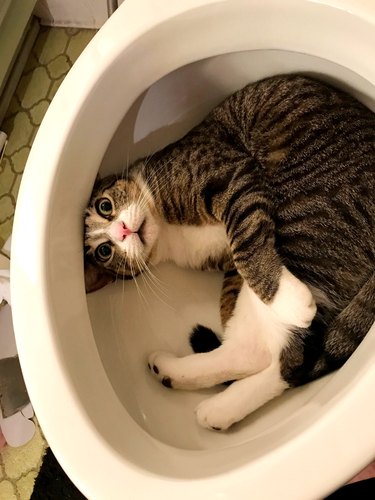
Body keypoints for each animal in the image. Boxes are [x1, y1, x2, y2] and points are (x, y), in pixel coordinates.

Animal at [84, 73, 375, 430]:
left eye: (105, 206)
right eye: (104, 251)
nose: (123, 231)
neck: (166, 232)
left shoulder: (231, 177)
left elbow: (246, 247)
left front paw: (291, 301)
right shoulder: (225, 263)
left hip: (307, 220)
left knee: (289, 358)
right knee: (266, 353)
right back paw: (186, 384)